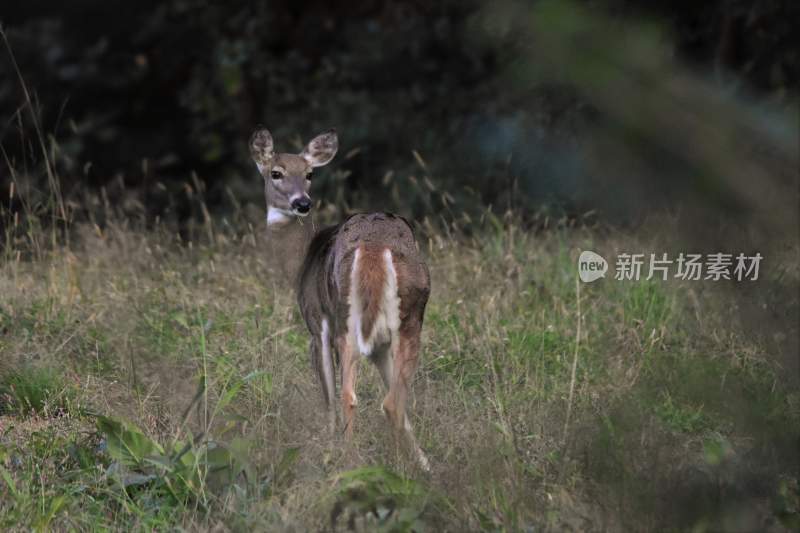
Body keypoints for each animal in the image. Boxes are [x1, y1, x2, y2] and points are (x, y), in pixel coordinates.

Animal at [250, 127, 432, 468]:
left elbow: (328, 394)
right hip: (410, 318)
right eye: (276, 173)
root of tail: (375, 247)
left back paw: (350, 462)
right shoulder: (380, 346)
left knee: (351, 396)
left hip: (346, 318)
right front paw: (423, 460)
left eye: (308, 173)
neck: (302, 259)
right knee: (395, 401)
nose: (302, 203)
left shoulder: (316, 324)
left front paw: (328, 446)